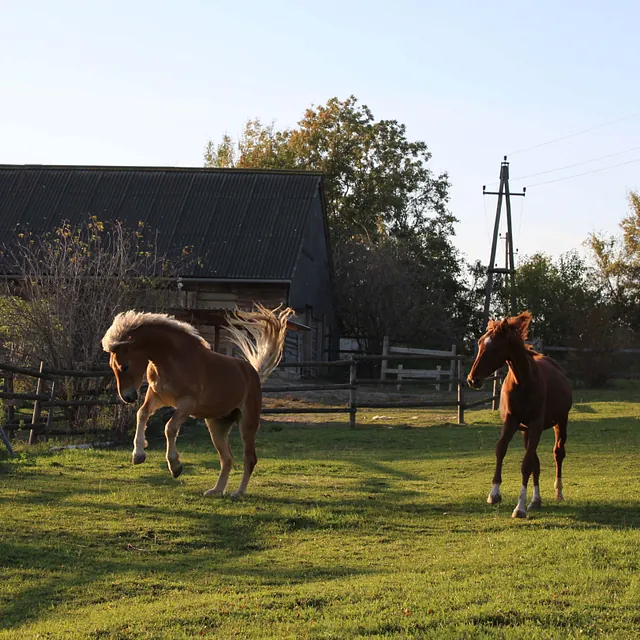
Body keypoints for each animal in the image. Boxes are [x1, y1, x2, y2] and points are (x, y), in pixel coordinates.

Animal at [101, 304, 294, 500]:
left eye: (124, 366)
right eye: (112, 366)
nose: (127, 397)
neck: (173, 358)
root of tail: (254, 373)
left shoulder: (187, 404)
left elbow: (170, 427)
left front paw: (175, 466)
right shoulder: (157, 397)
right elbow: (142, 414)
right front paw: (138, 455)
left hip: (247, 423)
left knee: (249, 458)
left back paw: (238, 492)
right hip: (217, 425)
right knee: (227, 459)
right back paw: (216, 490)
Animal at [464, 312, 576, 516]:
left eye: (495, 347)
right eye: (480, 343)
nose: (472, 380)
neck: (523, 382)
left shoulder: (536, 424)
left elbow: (526, 463)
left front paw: (520, 507)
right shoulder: (512, 422)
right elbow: (502, 450)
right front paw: (494, 494)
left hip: (560, 422)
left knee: (558, 453)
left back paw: (558, 492)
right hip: (526, 430)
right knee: (535, 462)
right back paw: (536, 500)